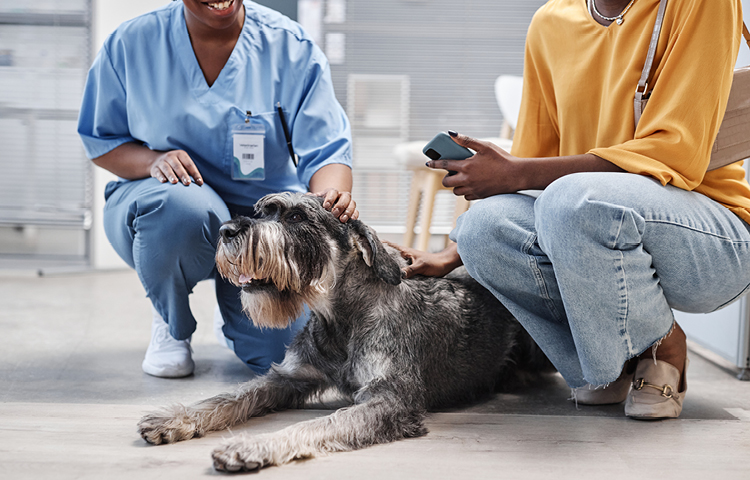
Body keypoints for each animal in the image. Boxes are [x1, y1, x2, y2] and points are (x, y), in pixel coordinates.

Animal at [137, 191, 552, 472]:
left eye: (297, 217)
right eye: (261, 212)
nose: (227, 229)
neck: (340, 318)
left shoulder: (388, 400)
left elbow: (320, 423)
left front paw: (253, 446)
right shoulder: (289, 376)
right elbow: (230, 397)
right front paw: (174, 419)